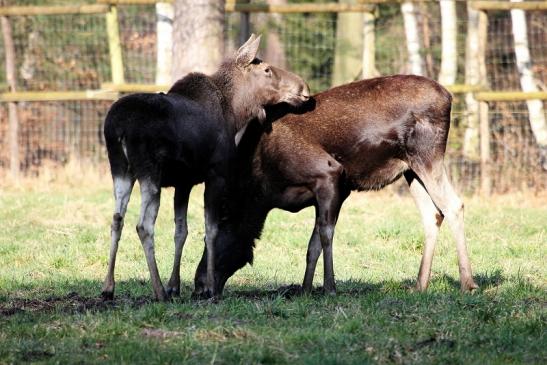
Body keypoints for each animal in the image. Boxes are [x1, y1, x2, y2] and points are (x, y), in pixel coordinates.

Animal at [100, 34, 310, 302]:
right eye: (267, 70)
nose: (304, 89)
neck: (236, 114)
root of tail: (119, 128)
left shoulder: (184, 182)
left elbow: (181, 231)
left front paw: (175, 286)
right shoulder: (216, 175)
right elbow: (211, 229)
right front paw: (208, 288)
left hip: (120, 168)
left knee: (117, 219)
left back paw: (108, 287)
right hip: (150, 172)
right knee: (143, 225)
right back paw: (158, 290)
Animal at [193, 74, 480, 296]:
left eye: (211, 240)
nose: (198, 285)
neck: (263, 191)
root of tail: (449, 97)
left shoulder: (329, 174)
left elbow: (325, 236)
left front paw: (329, 287)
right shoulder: (337, 191)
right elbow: (312, 246)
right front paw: (305, 290)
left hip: (427, 154)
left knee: (454, 205)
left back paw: (468, 283)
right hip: (410, 169)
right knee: (433, 214)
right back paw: (420, 284)